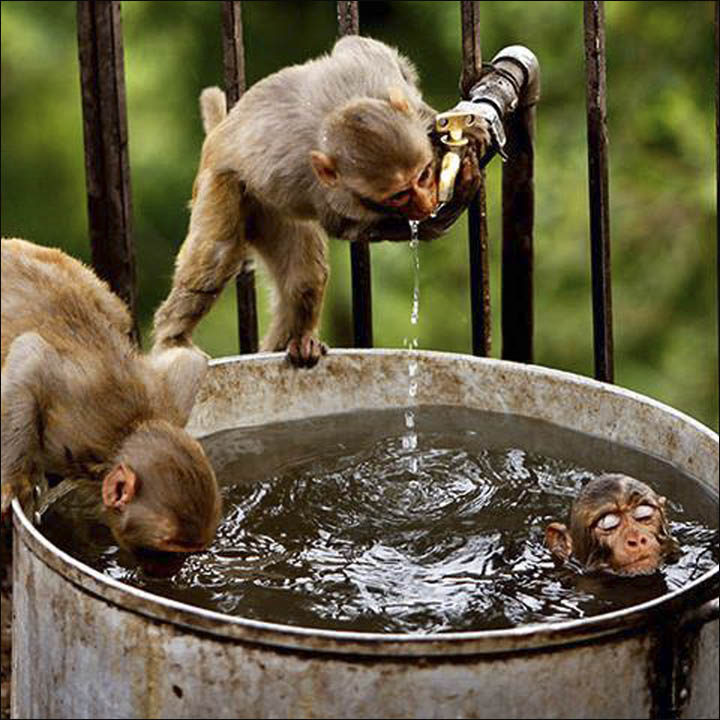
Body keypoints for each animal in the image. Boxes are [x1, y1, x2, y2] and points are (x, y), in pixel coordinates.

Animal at [1, 239, 222, 556]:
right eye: (171, 547)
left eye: (190, 548)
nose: (173, 568)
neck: (126, 432)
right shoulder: (77, 415)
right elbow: (29, 355)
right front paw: (13, 482)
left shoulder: (168, 399)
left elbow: (190, 360)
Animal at [152, 35, 490, 366]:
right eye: (399, 195)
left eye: (423, 175)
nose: (425, 202)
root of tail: (217, 135)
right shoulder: (333, 198)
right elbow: (349, 227)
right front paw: (451, 203)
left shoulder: (376, 72)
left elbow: (360, 46)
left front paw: (454, 131)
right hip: (224, 184)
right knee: (216, 257)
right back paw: (173, 339)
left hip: (267, 212)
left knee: (304, 279)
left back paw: (296, 342)